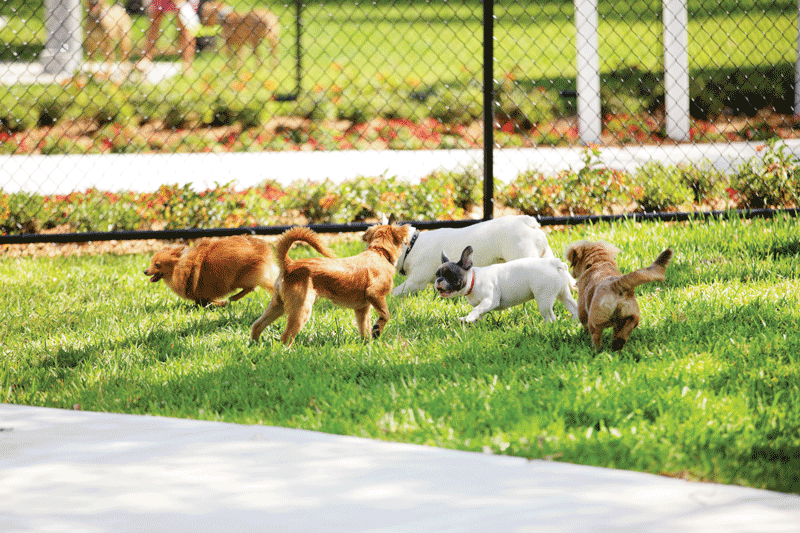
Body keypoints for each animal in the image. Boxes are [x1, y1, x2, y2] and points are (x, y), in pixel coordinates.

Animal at [144, 235, 278, 306]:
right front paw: (221, 303)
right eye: (151, 262)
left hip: (240, 279)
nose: (145, 271)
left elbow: (204, 302)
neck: (180, 267)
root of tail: (260, 247)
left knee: (251, 287)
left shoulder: (201, 295)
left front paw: (221, 303)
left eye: (157, 264)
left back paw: (234, 297)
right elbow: (208, 300)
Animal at [250, 223, 412, 344]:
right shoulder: (375, 294)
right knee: (285, 337)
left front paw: (368, 344)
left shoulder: (362, 309)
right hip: (301, 308)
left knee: (257, 325)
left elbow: (364, 328)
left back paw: (256, 345)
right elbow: (386, 314)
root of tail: (289, 264)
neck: (379, 252)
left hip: (278, 305)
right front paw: (377, 330)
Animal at [394, 215, 568, 298]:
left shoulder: (415, 282)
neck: (411, 245)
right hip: (545, 254)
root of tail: (527, 222)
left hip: (524, 255)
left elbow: (395, 291)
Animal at [434, 243, 580, 322]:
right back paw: (575, 321)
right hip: (563, 293)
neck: (473, 281)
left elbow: (477, 308)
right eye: (437, 275)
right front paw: (469, 320)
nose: (439, 280)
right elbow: (479, 313)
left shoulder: (489, 300)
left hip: (544, 298)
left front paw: (469, 318)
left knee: (550, 316)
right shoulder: (484, 305)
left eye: (451, 276)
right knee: (573, 307)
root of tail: (554, 263)